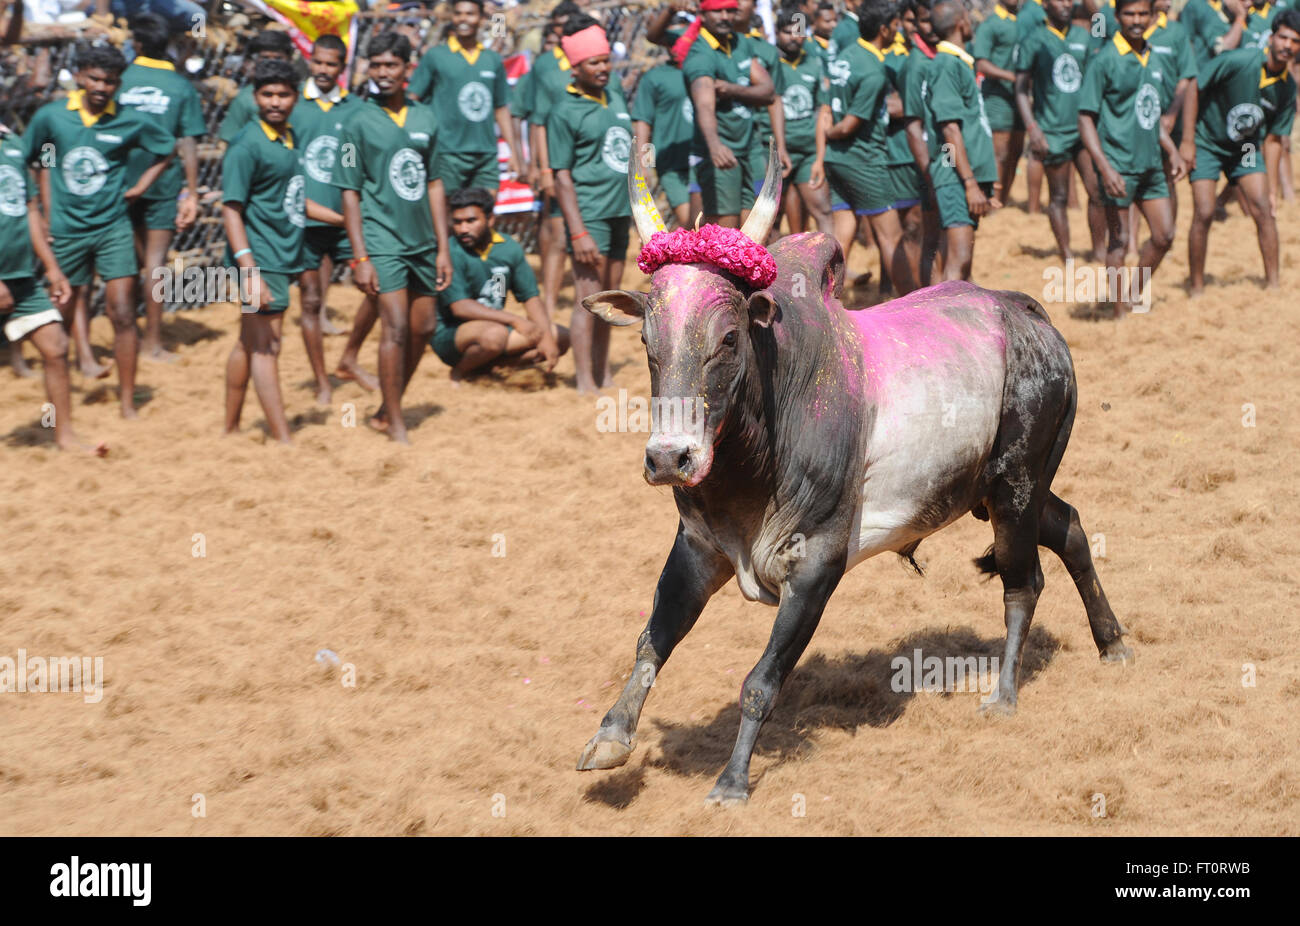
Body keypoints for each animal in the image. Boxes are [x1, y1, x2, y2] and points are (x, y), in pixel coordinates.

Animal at [577, 144, 1128, 801]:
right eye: (645, 338)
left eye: (730, 337)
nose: (669, 458)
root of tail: (1025, 313)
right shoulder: (698, 548)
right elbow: (652, 640)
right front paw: (610, 736)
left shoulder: (817, 564)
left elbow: (761, 680)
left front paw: (732, 782)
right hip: (1000, 491)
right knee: (1070, 527)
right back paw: (1112, 643)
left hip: (1014, 489)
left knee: (1024, 584)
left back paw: (1004, 694)